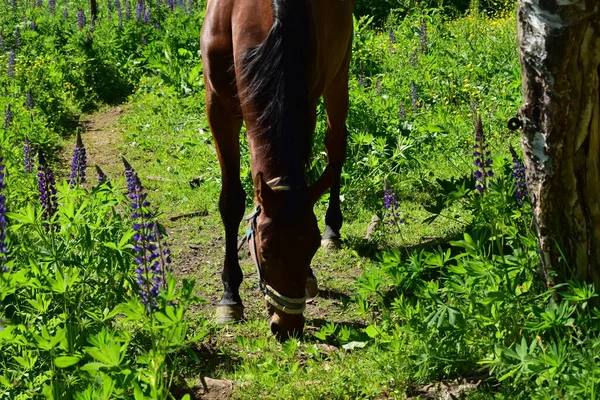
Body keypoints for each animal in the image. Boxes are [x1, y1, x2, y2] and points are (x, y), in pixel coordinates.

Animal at [202, 0, 354, 340]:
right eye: (266, 250)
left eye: (310, 247)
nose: (287, 327)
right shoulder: (217, 108)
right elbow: (231, 202)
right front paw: (230, 297)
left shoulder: (305, 103)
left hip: (340, 76)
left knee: (335, 148)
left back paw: (333, 228)